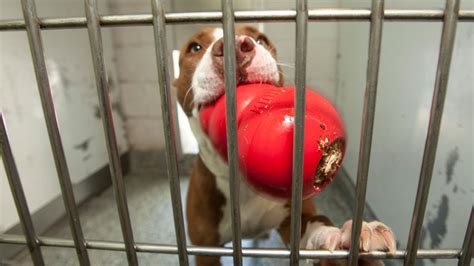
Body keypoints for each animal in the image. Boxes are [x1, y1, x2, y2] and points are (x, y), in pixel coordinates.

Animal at [174, 25, 396, 266]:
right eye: (195, 47)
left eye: (260, 39)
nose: (235, 47)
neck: (242, 185)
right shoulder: (205, 250)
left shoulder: (295, 220)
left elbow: (316, 225)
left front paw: (348, 240)